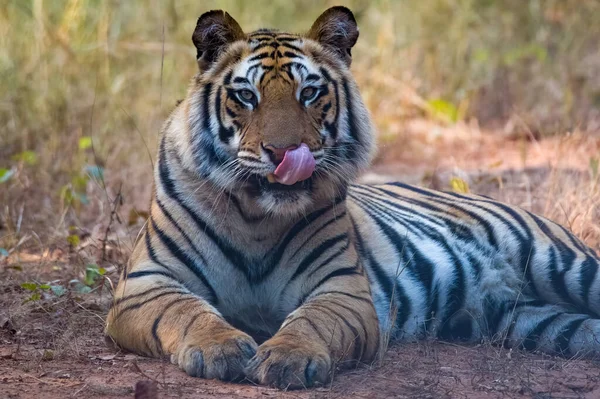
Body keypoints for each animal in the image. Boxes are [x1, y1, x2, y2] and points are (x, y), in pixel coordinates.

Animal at [105, 7, 600, 390]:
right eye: (246, 95)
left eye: (309, 92)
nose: (284, 153)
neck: (256, 217)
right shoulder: (146, 282)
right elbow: (186, 311)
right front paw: (220, 348)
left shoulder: (342, 287)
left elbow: (312, 320)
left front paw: (288, 358)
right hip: (535, 321)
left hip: (565, 264)